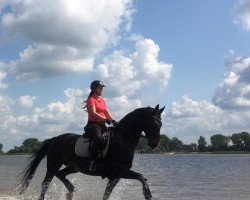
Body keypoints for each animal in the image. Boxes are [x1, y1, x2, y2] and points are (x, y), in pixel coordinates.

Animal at [18, 105, 165, 199]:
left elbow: (107, 194)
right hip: (53, 164)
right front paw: (147, 194)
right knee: (46, 183)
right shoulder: (119, 170)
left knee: (60, 175)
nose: (155, 144)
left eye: (161, 124)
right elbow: (142, 177)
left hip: (73, 167)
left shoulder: (116, 176)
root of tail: (55, 139)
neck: (122, 140)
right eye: (154, 123)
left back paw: (71, 191)